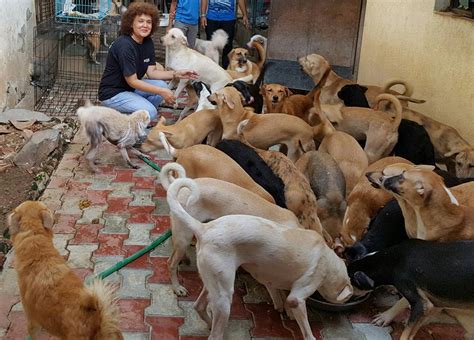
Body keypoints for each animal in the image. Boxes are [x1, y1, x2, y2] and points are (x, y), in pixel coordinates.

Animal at [166, 178, 352, 340]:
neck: (326, 256)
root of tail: (203, 229)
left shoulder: (270, 278)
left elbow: (277, 291)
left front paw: (281, 306)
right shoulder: (299, 296)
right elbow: (302, 322)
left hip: (216, 282)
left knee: (198, 306)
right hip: (219, 292)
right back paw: (178, 288)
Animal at [346, 239, 474, 340]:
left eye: (351, 285)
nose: (347, 299)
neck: (389, 260)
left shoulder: (419, 302)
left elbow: (406, 332)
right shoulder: (430, 304)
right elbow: (412, 328)